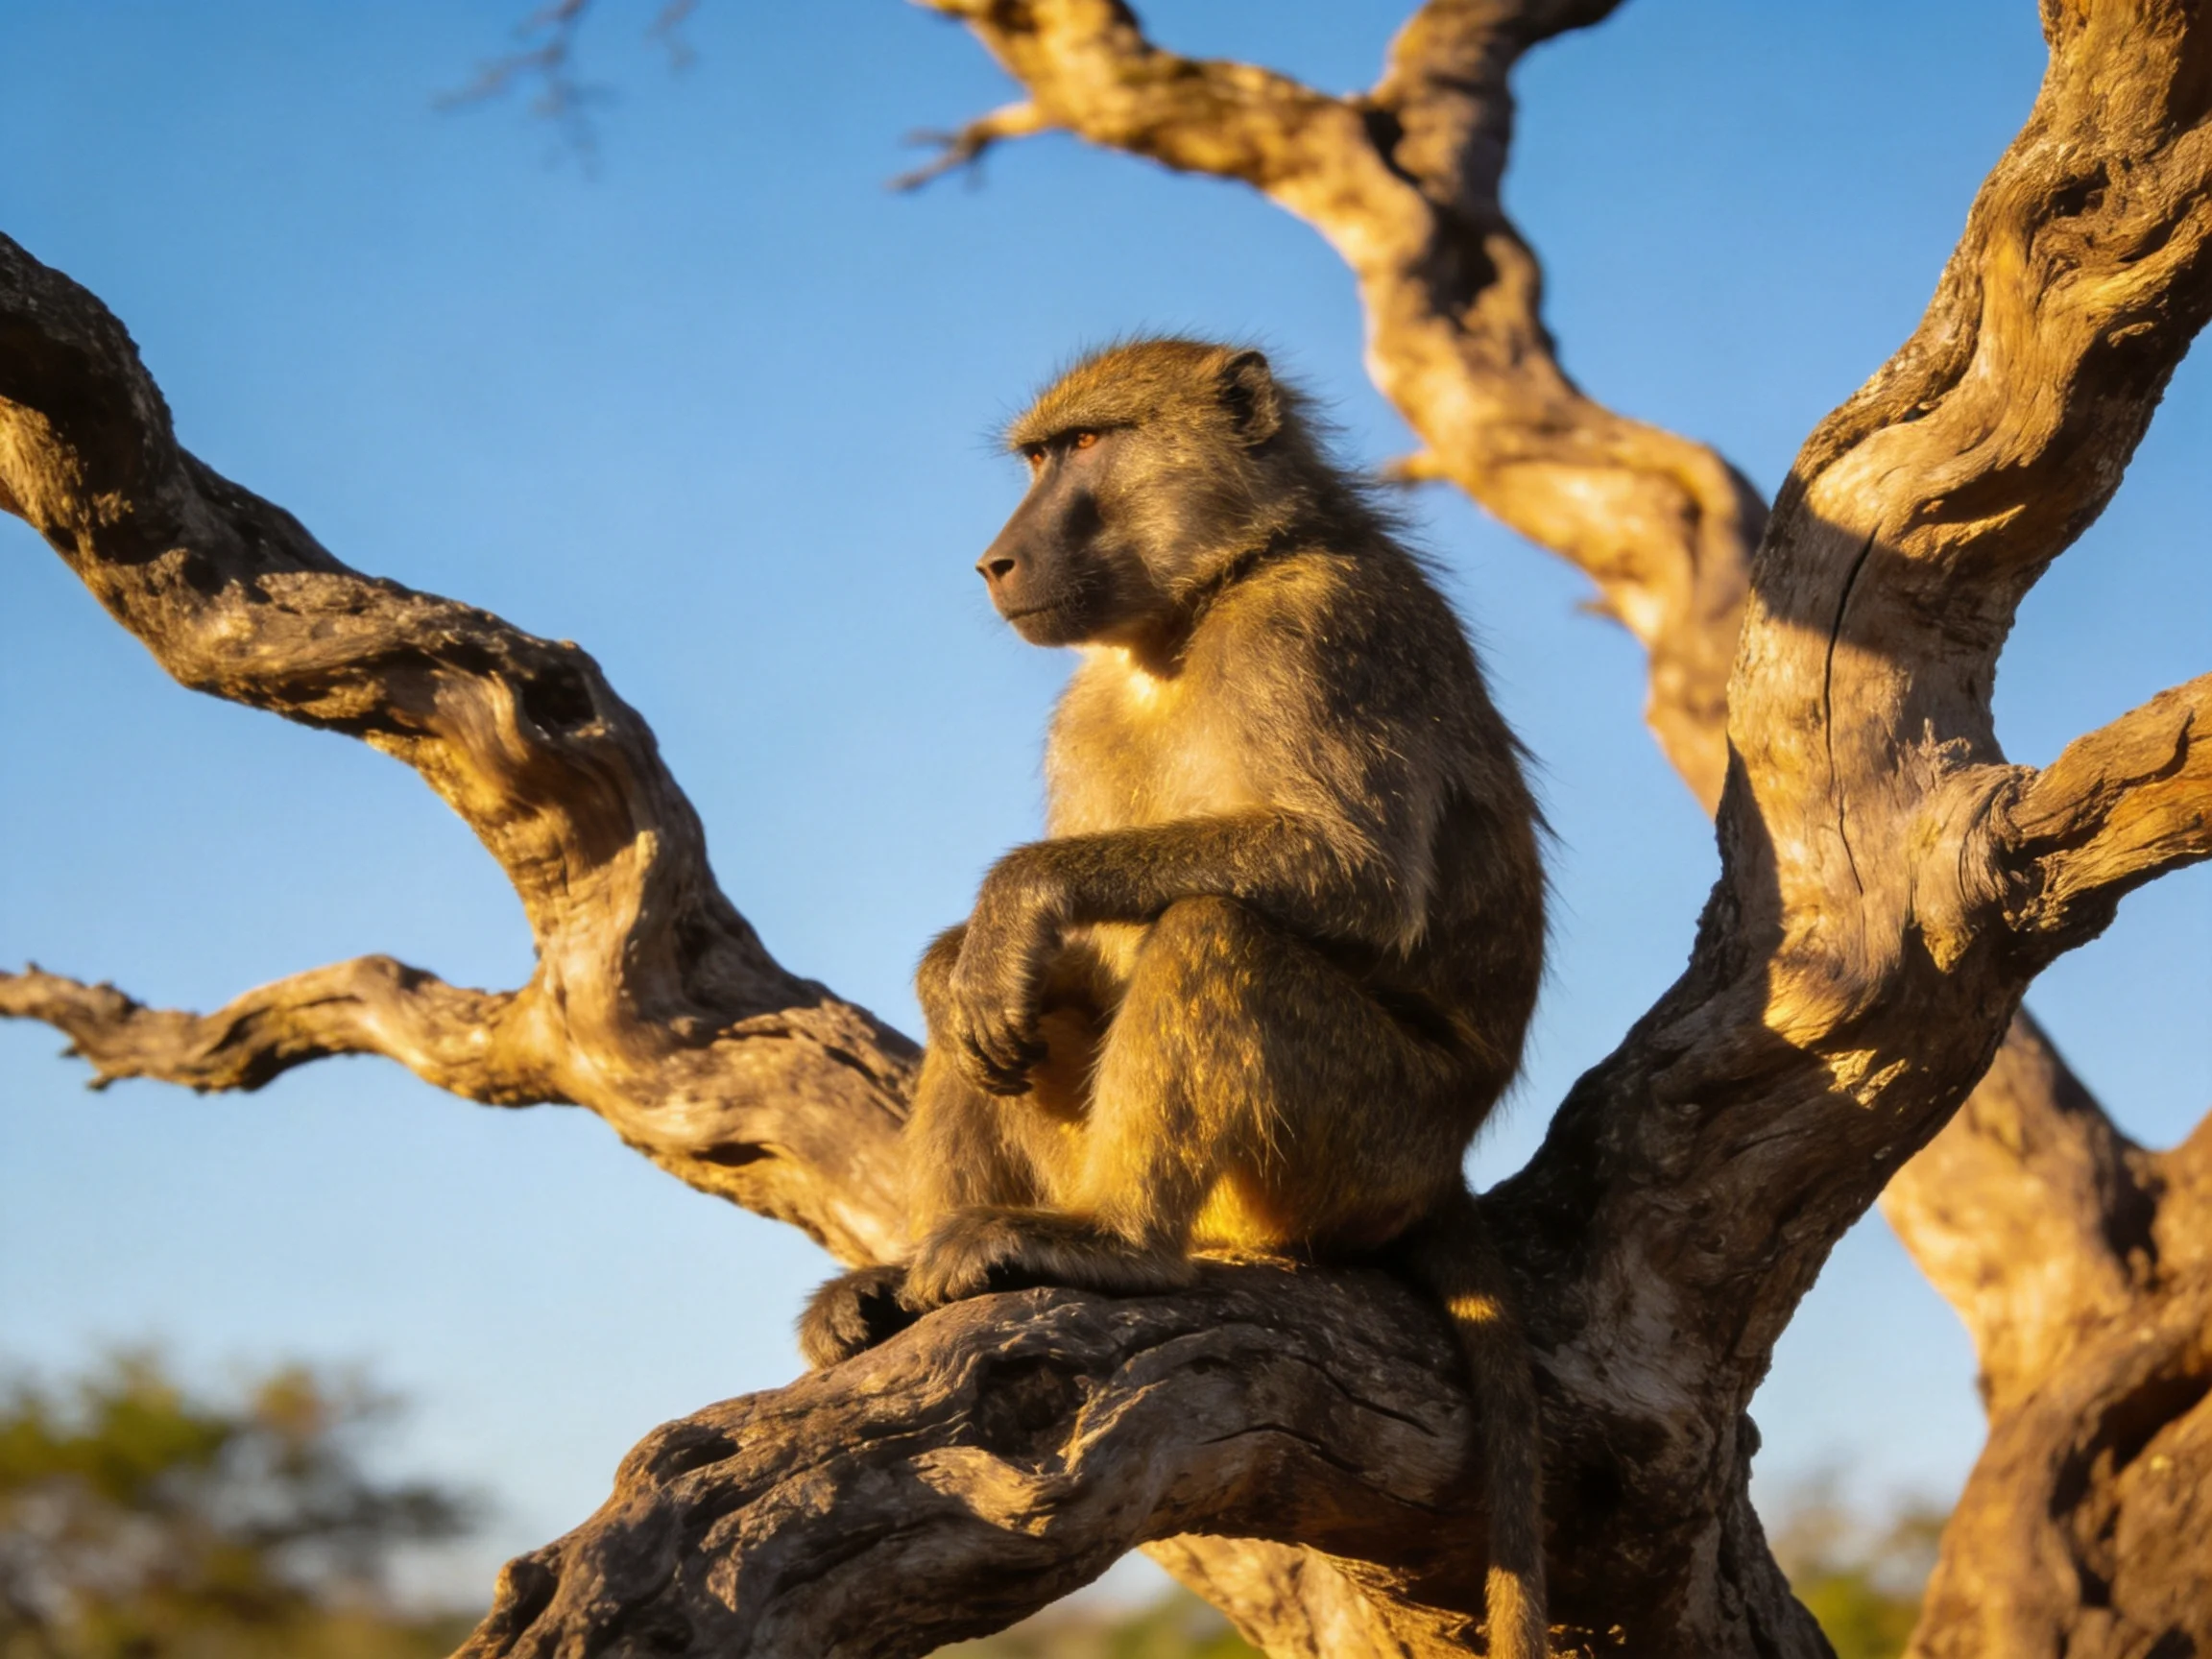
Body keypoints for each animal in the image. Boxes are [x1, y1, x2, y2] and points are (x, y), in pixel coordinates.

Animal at [801, 339, 1549, 1658]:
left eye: (1088, 447)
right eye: (1038, 459)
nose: (995, 561)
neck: (1190, 614)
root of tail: (1442, 1172)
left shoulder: (1322, 628)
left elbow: (1352, 868)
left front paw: (1017, 895)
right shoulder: (1087, 707)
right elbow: (1031, 972)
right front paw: (978, 957)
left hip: (1362, 1150)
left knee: (1213, 932)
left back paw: (1112, 1241)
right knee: (989, 993)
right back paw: (905, 1272)